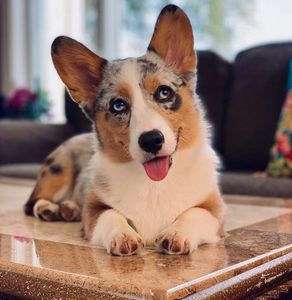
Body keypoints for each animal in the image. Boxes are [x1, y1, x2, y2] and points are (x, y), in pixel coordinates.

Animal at [24, 4, 225, 255]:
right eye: (118, 105)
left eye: (164, 92)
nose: (151, 140)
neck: (154, 185)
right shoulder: (94, 209)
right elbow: (110, 214)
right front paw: (123, 235)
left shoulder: (215, 211)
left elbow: (195, 213)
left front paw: (176, 234)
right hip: (58, 169)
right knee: (33, 201)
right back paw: (50, 209)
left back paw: (69, 209)